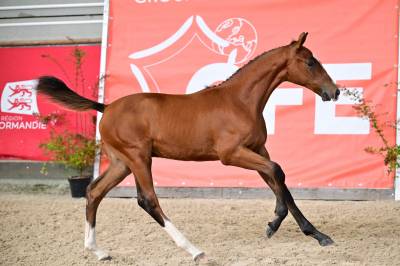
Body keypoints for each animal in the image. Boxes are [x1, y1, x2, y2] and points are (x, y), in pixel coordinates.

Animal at [36, 33, 338, 262]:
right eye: (310, 62)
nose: (333, 91)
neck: (240, 101)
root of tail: (106, 107)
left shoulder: (258, 150)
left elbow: (278, 180)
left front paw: (308, 232)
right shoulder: (231, 154)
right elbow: (277, 172)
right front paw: (282, 225)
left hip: (122, 163)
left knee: (94, 191)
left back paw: (97, 251)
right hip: (138, 157)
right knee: (147, 199)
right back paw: (194, 250)